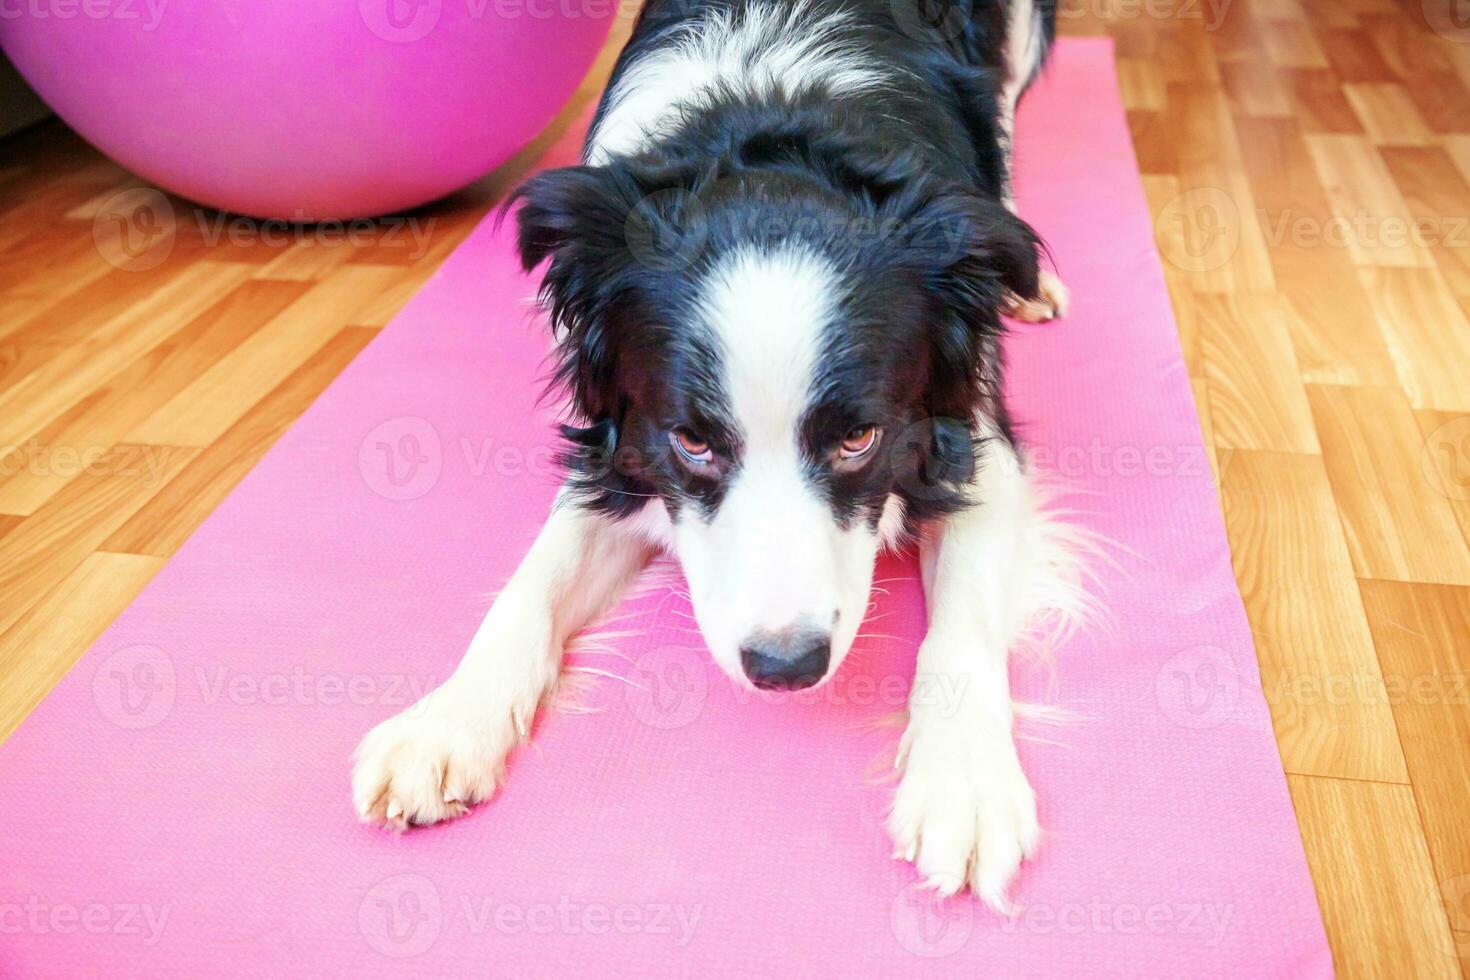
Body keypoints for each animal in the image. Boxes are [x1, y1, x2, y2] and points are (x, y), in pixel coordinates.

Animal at [352, 0, 1093, 910]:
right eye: (693, 440)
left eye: (860, 437)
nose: (785, 666)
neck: (771, 122)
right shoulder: (623, 443)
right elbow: (531, 583)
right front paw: (447, 721)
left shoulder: (971, 431)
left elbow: (963, 619)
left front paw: (966, 784)